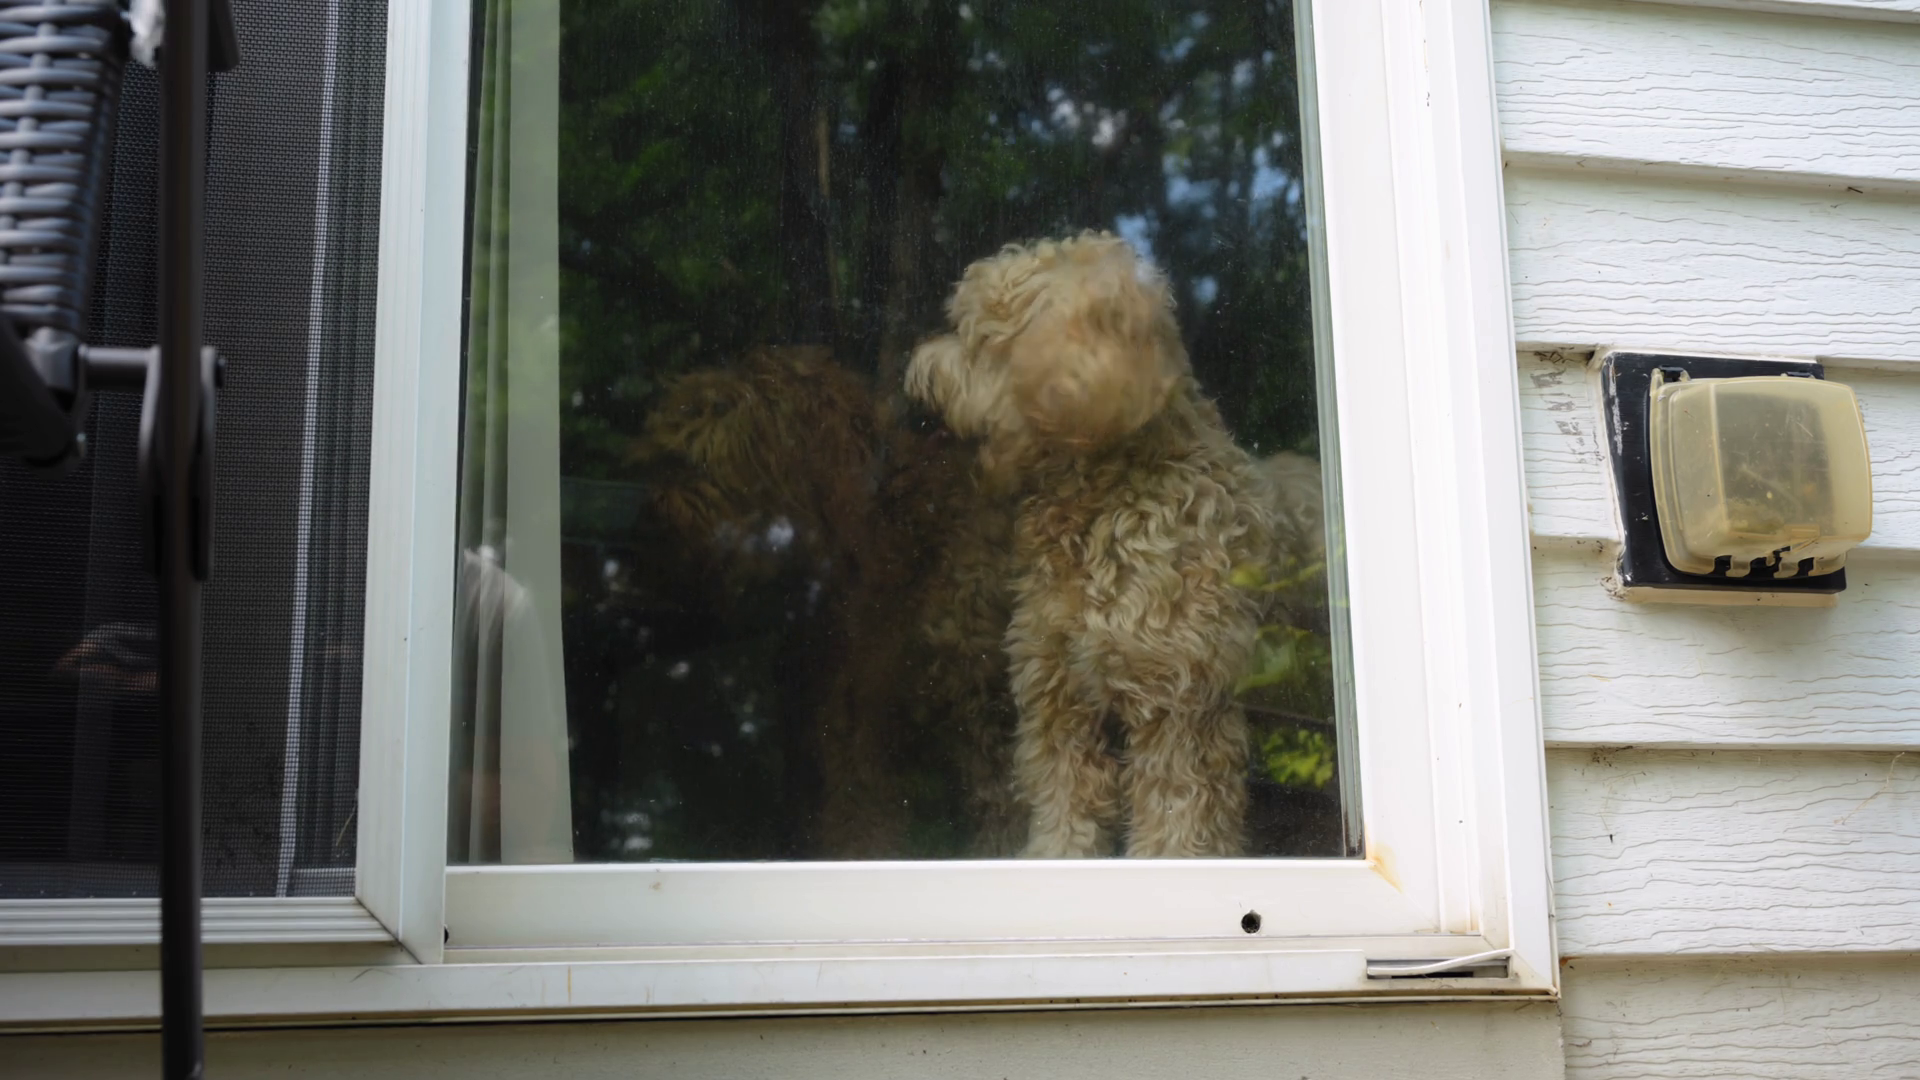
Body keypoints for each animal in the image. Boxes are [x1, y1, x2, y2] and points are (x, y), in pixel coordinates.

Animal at [906, 232, 1274, 858]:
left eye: (975, 337)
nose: (917, 374)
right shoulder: (1057, 688)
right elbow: (1064, 803)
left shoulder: (1181, 708)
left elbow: (1179, 816)